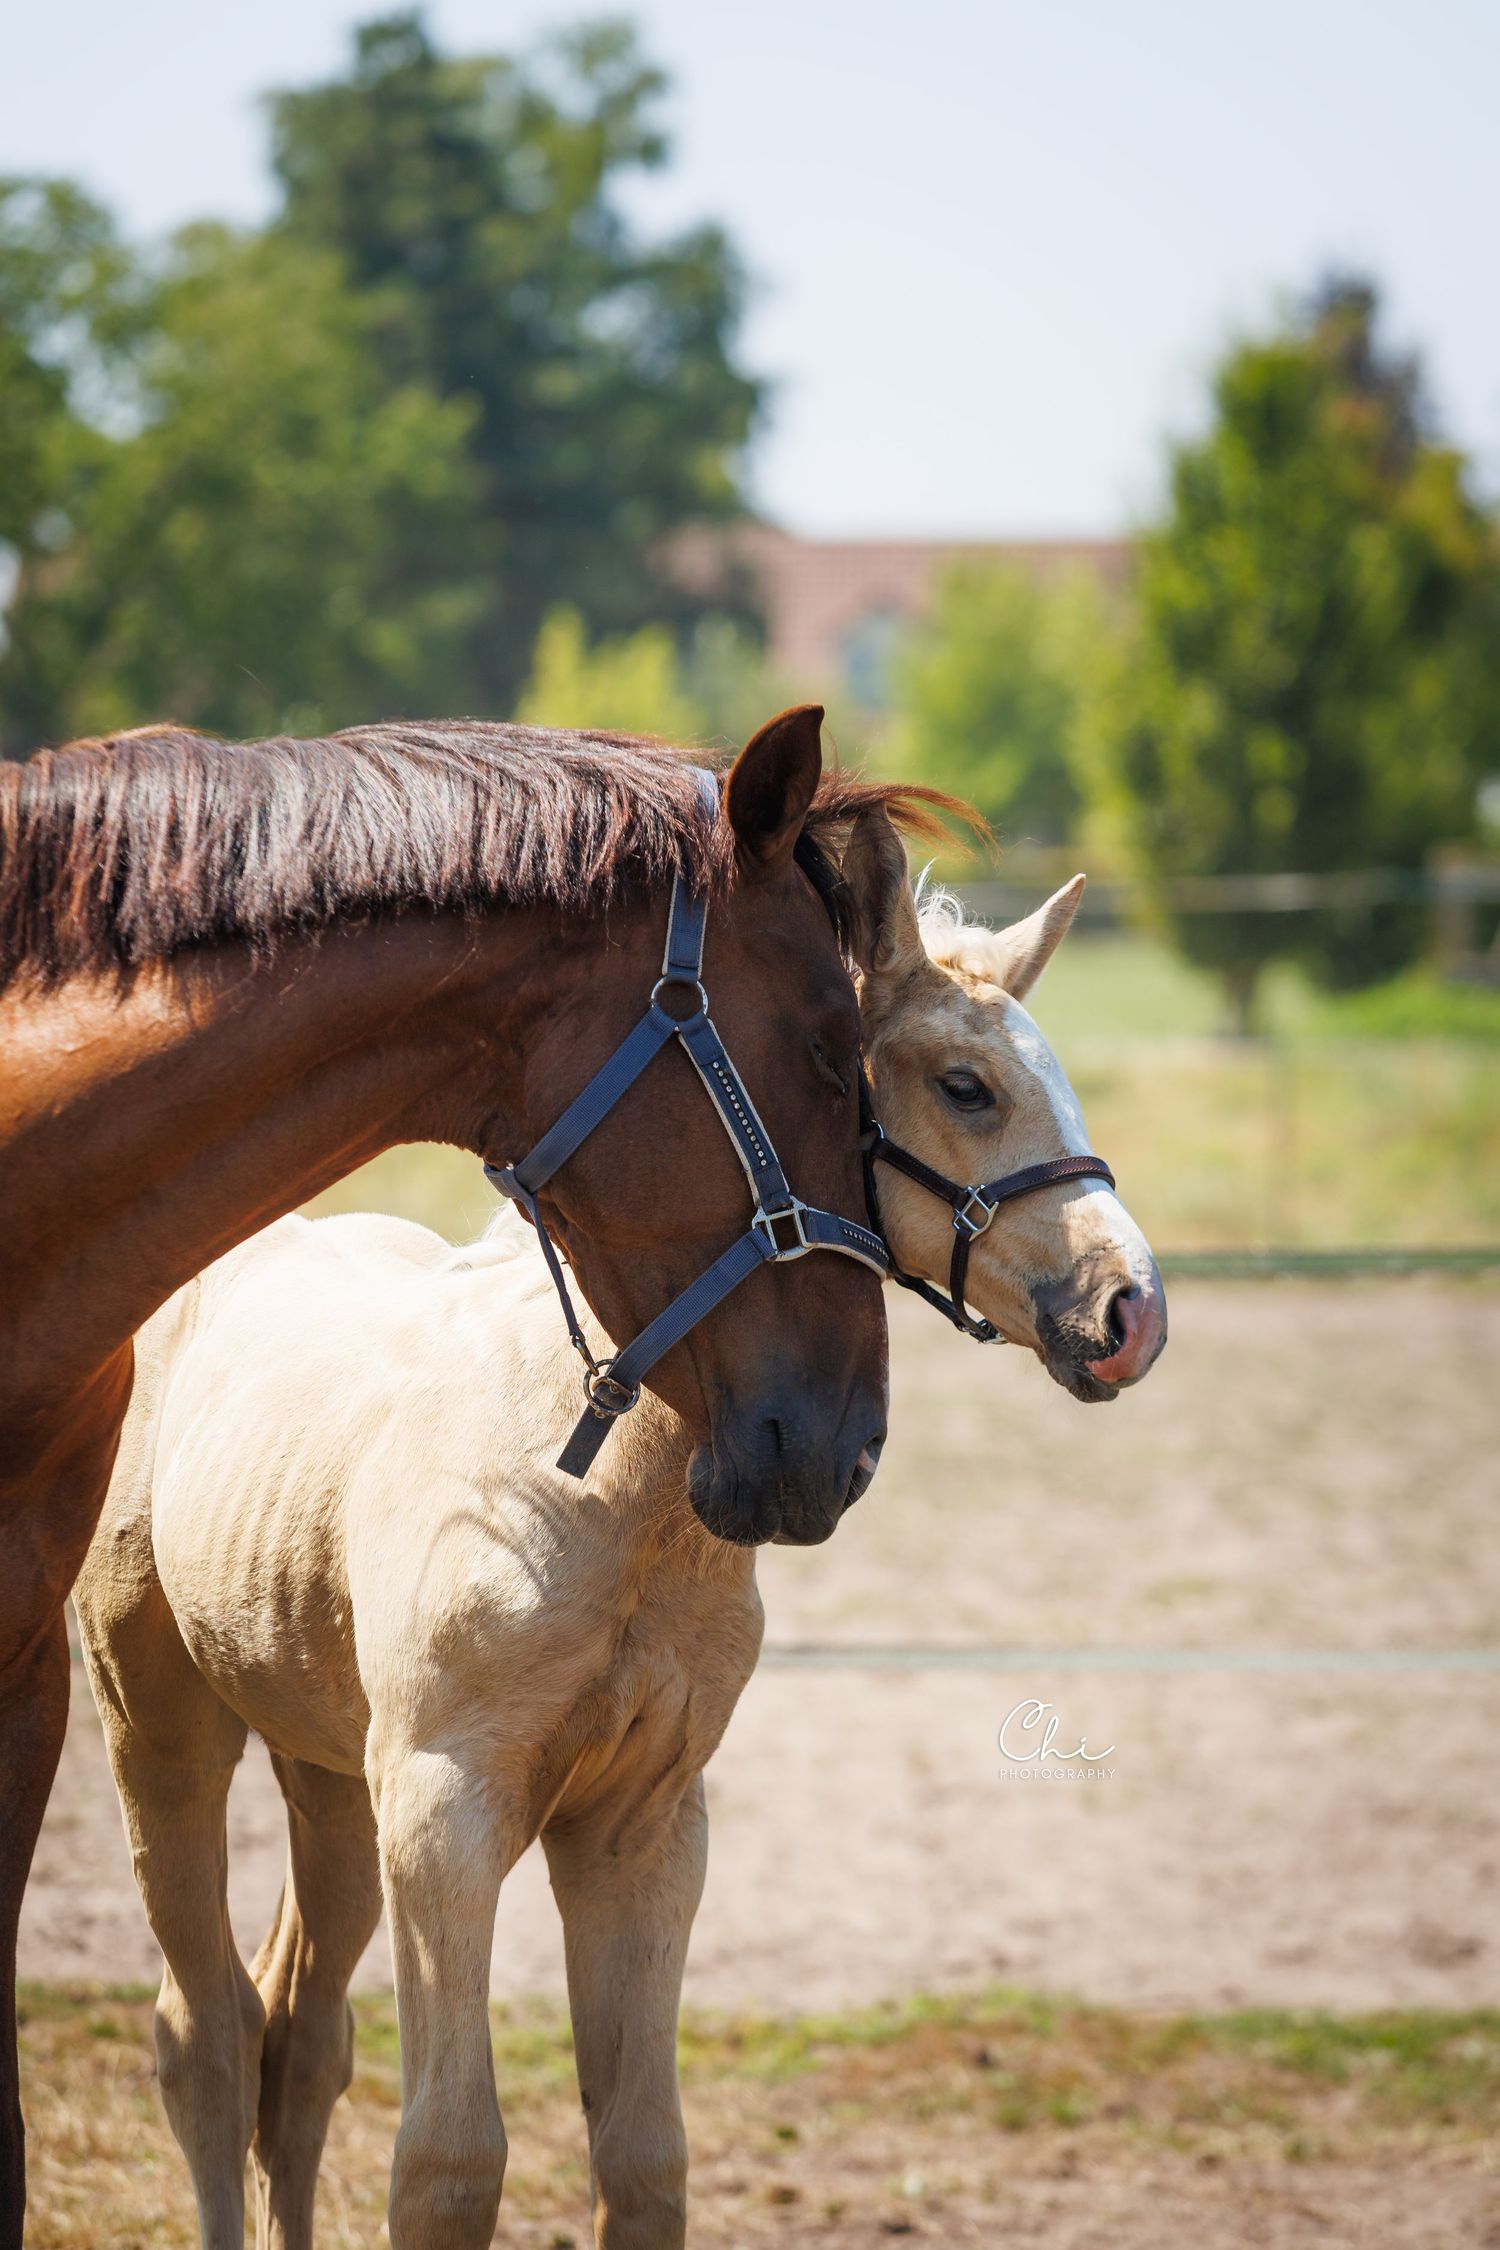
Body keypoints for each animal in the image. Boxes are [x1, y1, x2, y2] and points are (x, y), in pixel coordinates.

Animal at [74, 806, 1164, 2250]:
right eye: (965, 1085)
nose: (1132, 1311)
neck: (603, 1492)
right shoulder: (448, 1811)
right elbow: (449, 2160)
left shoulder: (640, 1829)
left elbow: (644, 2154)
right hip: (164, 1724)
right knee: (203, 2033)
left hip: (328, 1773)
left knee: (298, 2039)